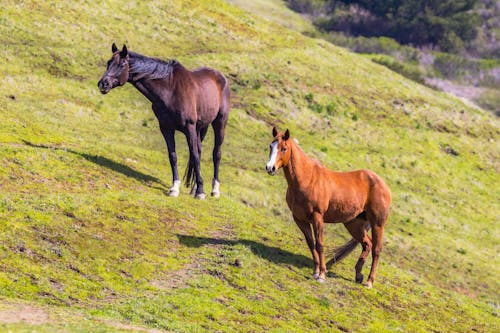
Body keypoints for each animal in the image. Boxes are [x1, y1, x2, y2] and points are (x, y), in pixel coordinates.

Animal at [98, 45, 230, 198]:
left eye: (122, 64)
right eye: (109, 63)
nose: (103, 84)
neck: (170, 91)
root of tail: (221, 77)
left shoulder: (189, 127)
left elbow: (195, 155)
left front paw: (201, 192)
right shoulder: (166, 129)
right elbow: (173, 156)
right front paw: (175, 188)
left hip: (219, 123)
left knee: (216, 154)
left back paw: (214, 190)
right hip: (201, 127)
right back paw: (194, 188)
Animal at [266, 126, 390, 286]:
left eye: (284, 148)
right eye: (271, 146)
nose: (270, 168)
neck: (307, 179)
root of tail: (384, 186)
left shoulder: (317, 217)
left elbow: (320, 244)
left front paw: (322, 275)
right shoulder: (300, 219)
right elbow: (311, 243)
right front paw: (315, 271)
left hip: (377, 224)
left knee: (376, 249)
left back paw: (369, 282)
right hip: (353, 224)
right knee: (367, 244)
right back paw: (358, 275)